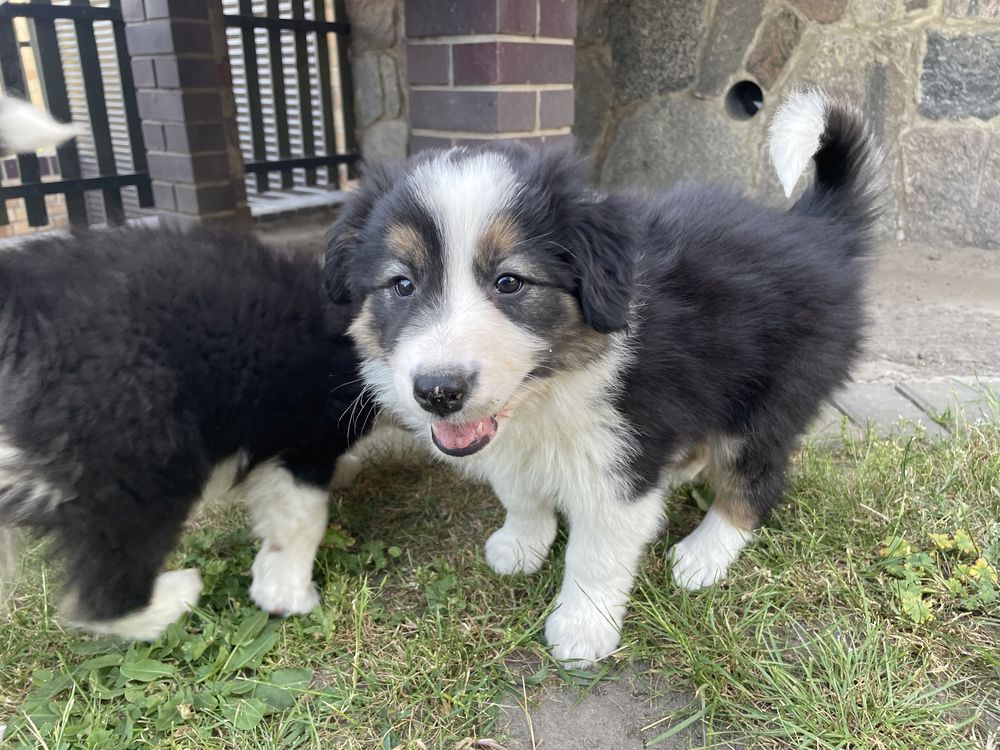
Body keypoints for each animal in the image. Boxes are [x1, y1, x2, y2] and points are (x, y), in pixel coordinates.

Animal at [0, 98, 376, 640]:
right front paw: (284, 592)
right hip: (141, 450)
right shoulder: (306, 434)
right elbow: (301, 515)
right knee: (98, 594)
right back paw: (170, 601)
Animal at [324, 91, 880, 668]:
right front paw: (521, 544)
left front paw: (582, 628)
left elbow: (596, 553)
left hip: (772, 397)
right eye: (401, 284)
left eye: (510, 282)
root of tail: (819, 230)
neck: (546, 391)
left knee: (756, 483)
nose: (438, 392)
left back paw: (703, 555)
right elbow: (519, 492)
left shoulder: (621, 458)